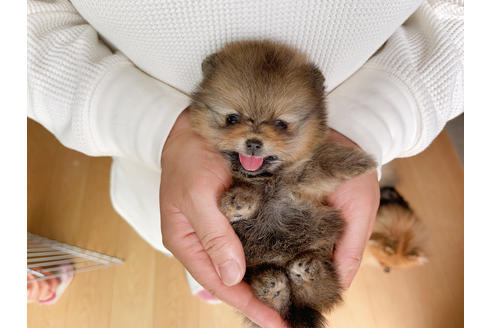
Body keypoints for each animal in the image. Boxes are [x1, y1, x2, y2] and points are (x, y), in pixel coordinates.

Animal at [190, 41, 374, 328]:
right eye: (232, 118)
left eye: (280, 123)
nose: (254, 142)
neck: (268, 180)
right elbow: (239, 195)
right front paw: (238, 201)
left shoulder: (304, 178)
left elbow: (324, 162)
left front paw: (358, 161)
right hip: (252, 271)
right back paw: (271, 287)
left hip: (321, 250)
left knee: (320, 290)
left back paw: (306, 272)